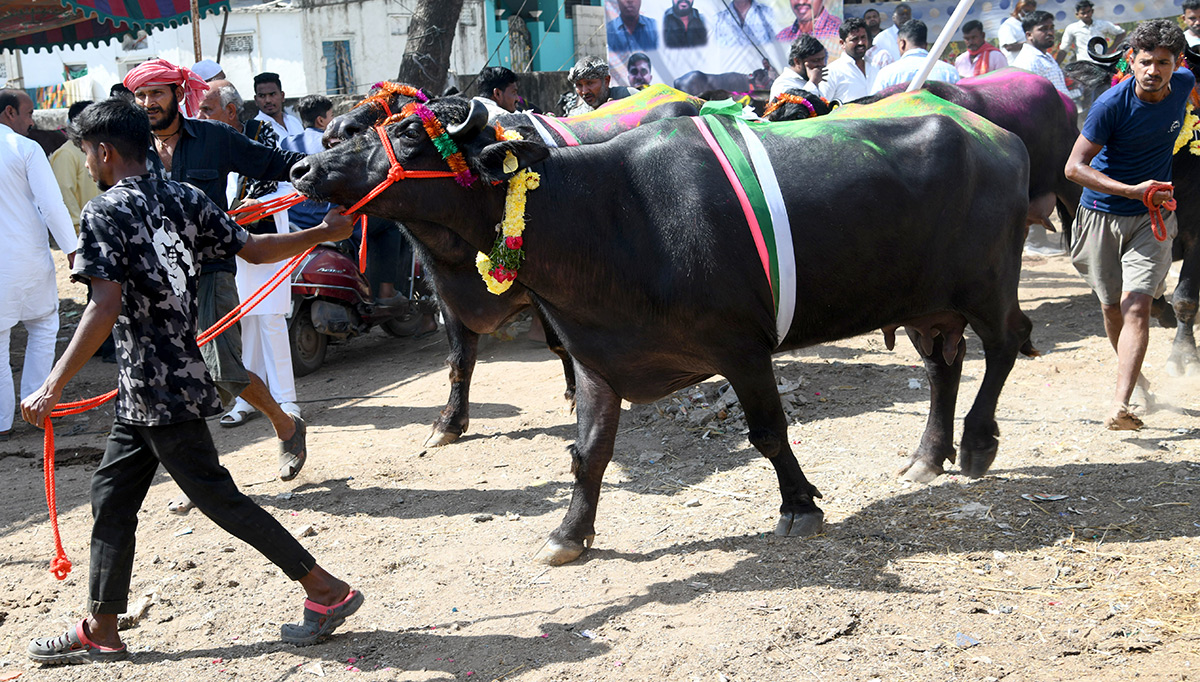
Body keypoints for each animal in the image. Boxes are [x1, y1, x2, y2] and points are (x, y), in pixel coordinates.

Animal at [324, 82, 705, 444]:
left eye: (407, 126)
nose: (335, 130)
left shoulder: (546, 293)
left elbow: (559, 344)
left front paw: (574, 393)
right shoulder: (446, 294)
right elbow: (459, 360)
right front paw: (448, 423)